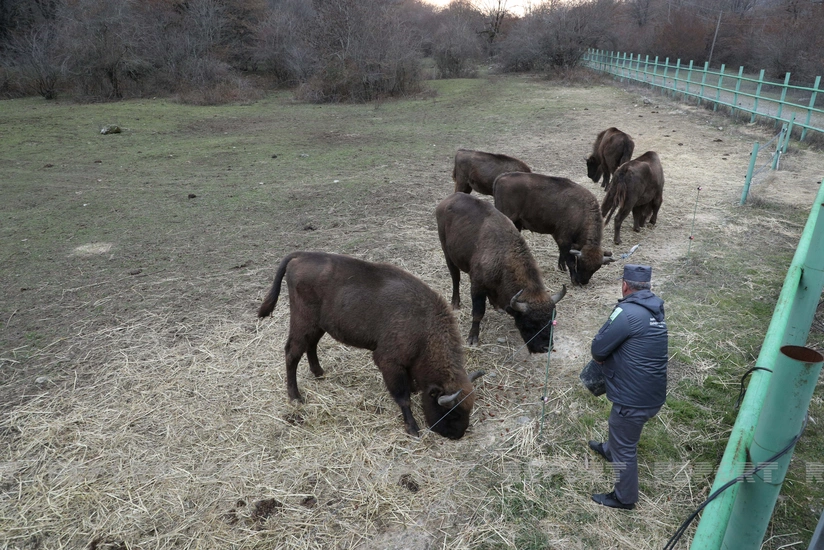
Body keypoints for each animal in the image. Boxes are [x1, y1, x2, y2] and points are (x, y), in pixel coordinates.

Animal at [257, 251, 484, 439]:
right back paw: (295, 397)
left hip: (318, 325)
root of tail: (300, 256)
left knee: (310, 346)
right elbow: (402, 397)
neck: (424, 326)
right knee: (292, 353)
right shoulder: (388, 362)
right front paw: (413, 429)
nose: (458, 434)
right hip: (303, 323)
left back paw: (319, 373)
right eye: (452, 412)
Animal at [435, 192, 567, 353]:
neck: (504, 255)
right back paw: (455, 304)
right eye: (531, 323)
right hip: (447, 254)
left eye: (551, 321)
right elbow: (478, 313)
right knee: (455, 278)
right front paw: (472, 339)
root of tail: (447, 200)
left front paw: (498, 307)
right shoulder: (477, 286)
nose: (546, 347)